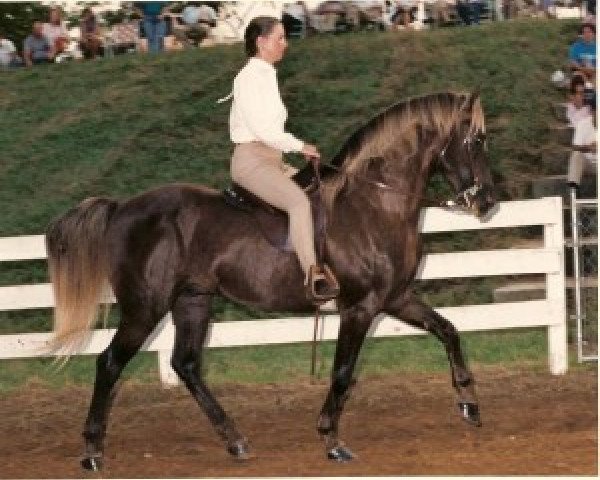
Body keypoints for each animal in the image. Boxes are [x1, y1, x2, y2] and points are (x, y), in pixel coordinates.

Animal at [45, 89, 496, 468]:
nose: (488, 201)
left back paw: (235, 441)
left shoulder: (396, 297)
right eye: (476, 141)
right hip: (145, 309)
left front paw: (469, 404)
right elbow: (342, 372)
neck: (372, 204)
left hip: (193, 301)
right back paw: (92, 451)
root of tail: (121, 208)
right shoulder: (360, 307)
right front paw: (331, 439)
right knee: (110, 363)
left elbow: (448, 331)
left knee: (186, 364)